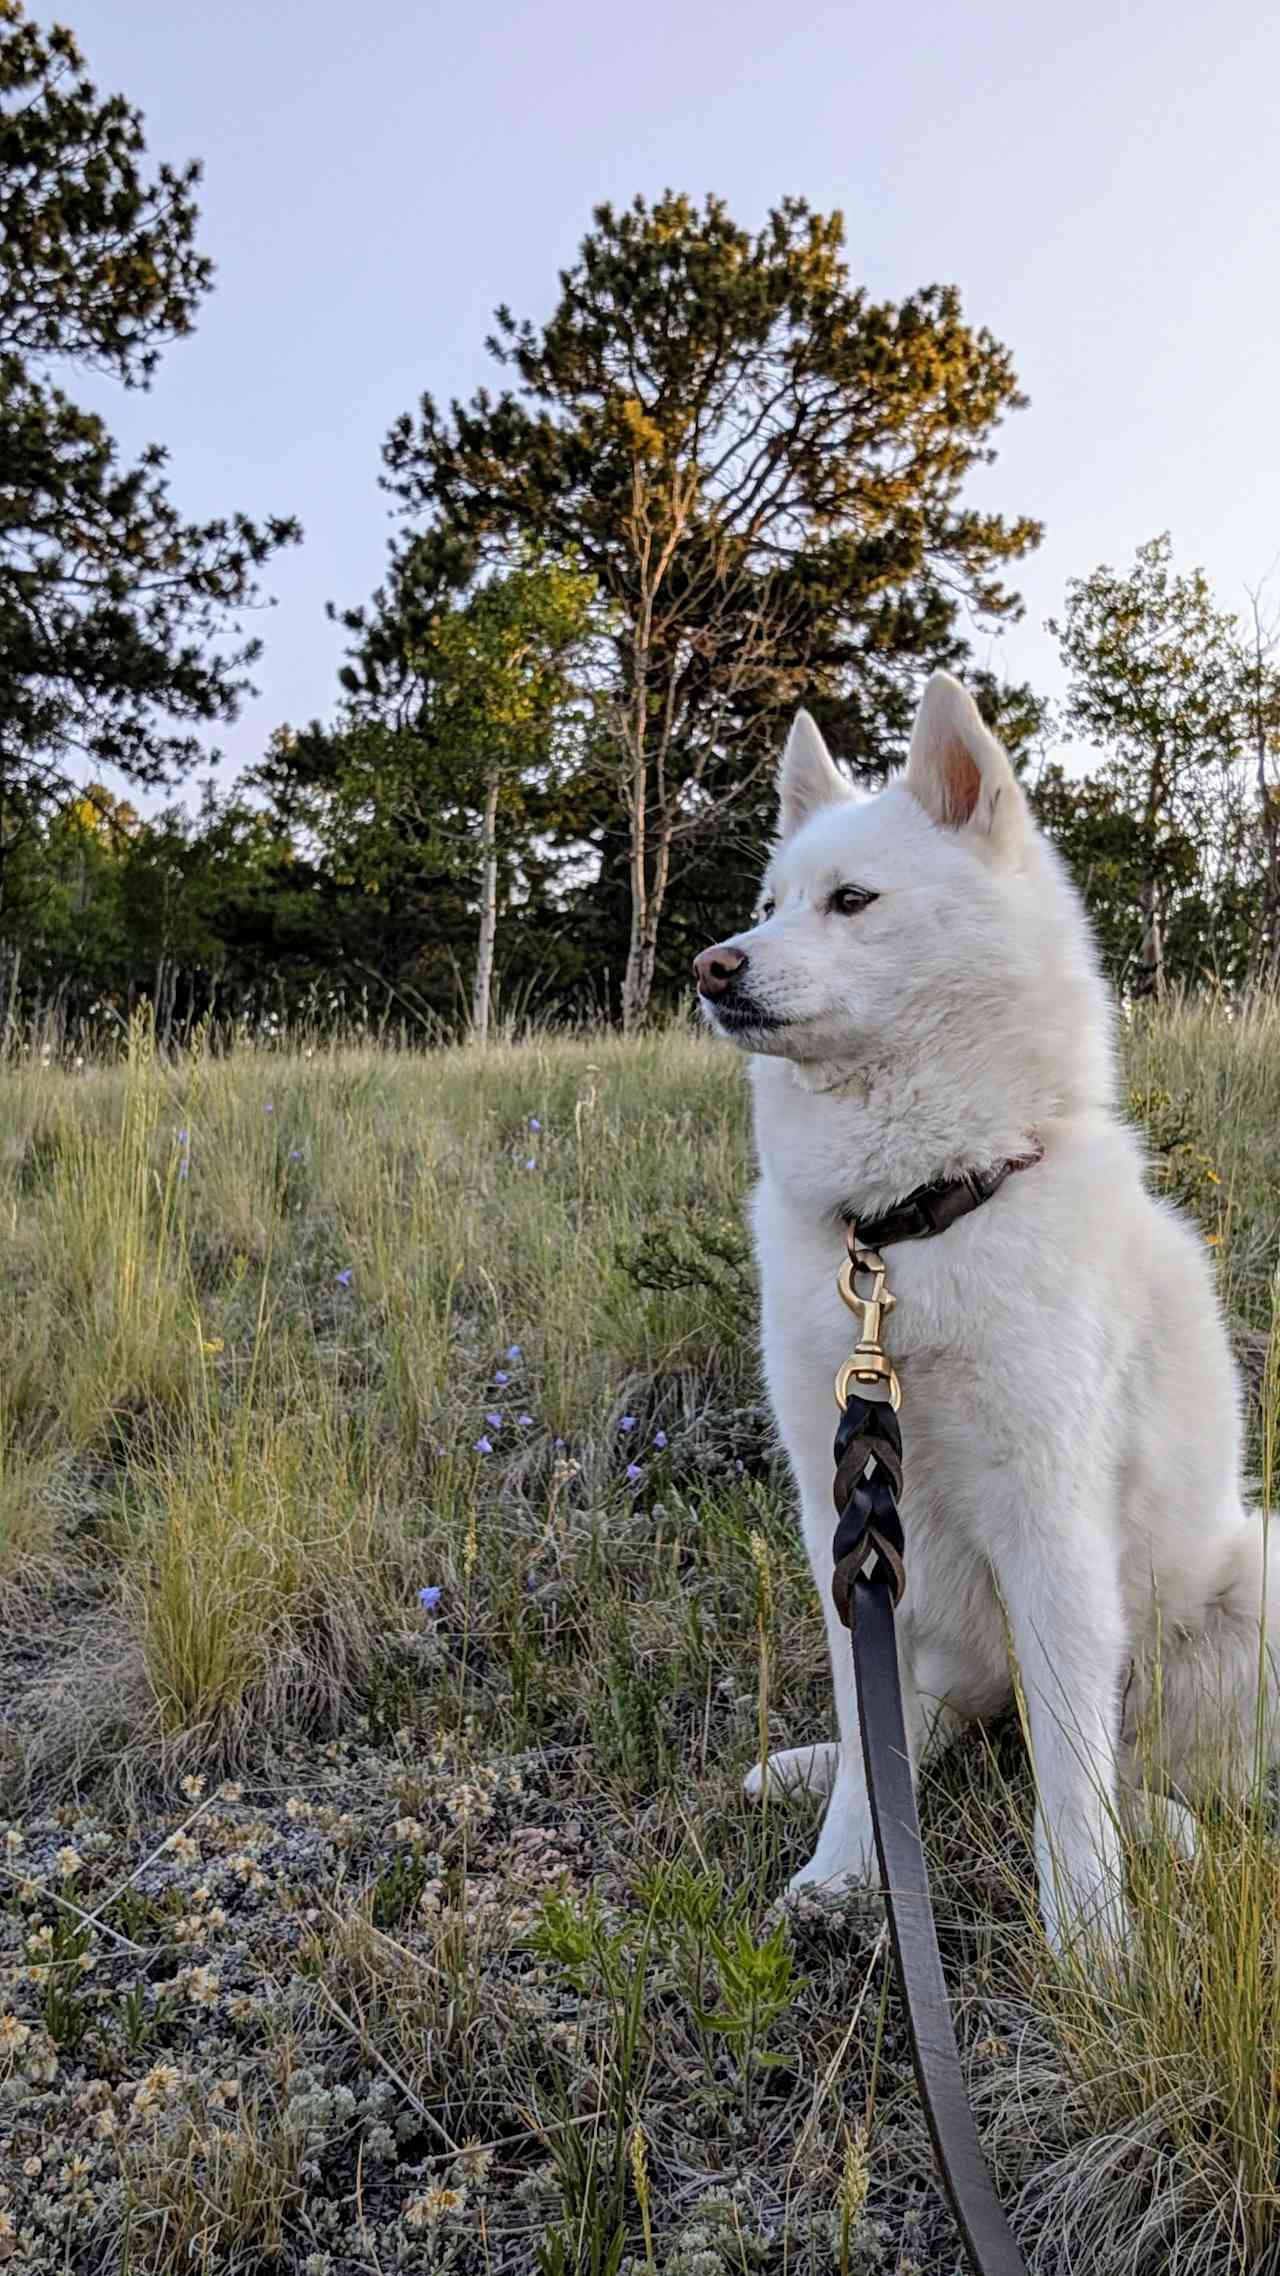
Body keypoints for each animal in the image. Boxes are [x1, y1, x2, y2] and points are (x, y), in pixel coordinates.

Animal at [696, 673, 1275, 1957]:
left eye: (850, 900)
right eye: (767, 903)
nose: (712, 965)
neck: (908, 1228)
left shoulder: (1048, 1519)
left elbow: (1068, 1772)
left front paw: (1090, 1935)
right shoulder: (842, 1525)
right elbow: (873, 1737)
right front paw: (844, 1868)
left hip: (1237, 1590)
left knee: (1133, 1763)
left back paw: (1159, 1830)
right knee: (936, 1726)